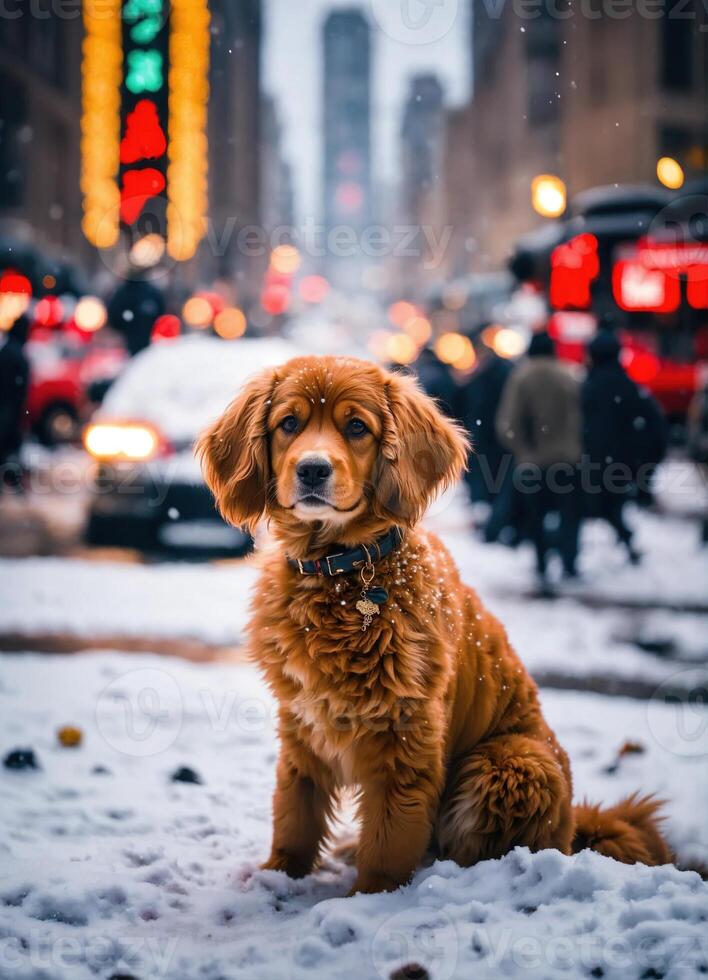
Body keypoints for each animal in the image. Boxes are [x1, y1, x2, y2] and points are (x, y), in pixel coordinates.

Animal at [196, 356, 672, 892]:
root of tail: (573, 831)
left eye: (356, 427)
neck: (340, 574)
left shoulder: (405, 735)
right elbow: (295, 813)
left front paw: (371, 895)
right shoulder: (301, 723)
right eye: (289, 423)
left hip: (511, 761)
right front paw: (279, 877)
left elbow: (389, 838)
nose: (313, 469)